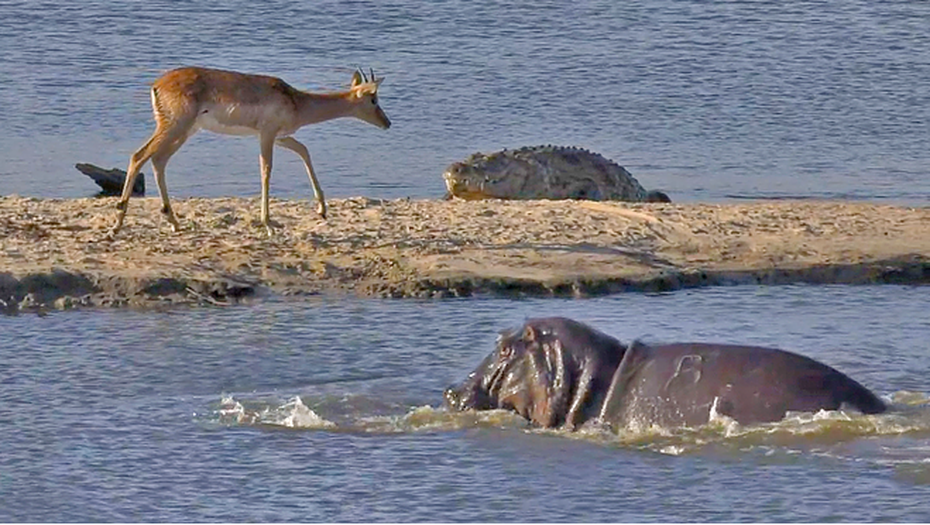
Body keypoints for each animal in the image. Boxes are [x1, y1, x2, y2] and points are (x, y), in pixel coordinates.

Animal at [109, 66, 392, 236]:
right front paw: (268, 224)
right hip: (175, 127)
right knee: (139, 156)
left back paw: (173, 222)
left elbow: (304, 150)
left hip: (185, 131)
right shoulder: (267, 135)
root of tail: (157, 84)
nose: (387, 123)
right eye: (373, 99)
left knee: (158, 160)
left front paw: (322, 209)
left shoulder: (279, 136)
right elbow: (266, 170)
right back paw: (117, 224)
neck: (297, 101)